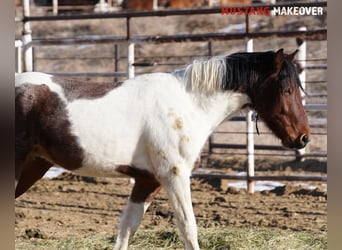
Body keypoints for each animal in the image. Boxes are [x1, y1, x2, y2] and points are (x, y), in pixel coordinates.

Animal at [15, 48, 310, 248]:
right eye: (286, 89)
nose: (304, 138)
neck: (189, 104)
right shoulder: (175, 177)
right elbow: (188, 227)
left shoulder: (147, 182)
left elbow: (126, 230)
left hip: (33, 168)